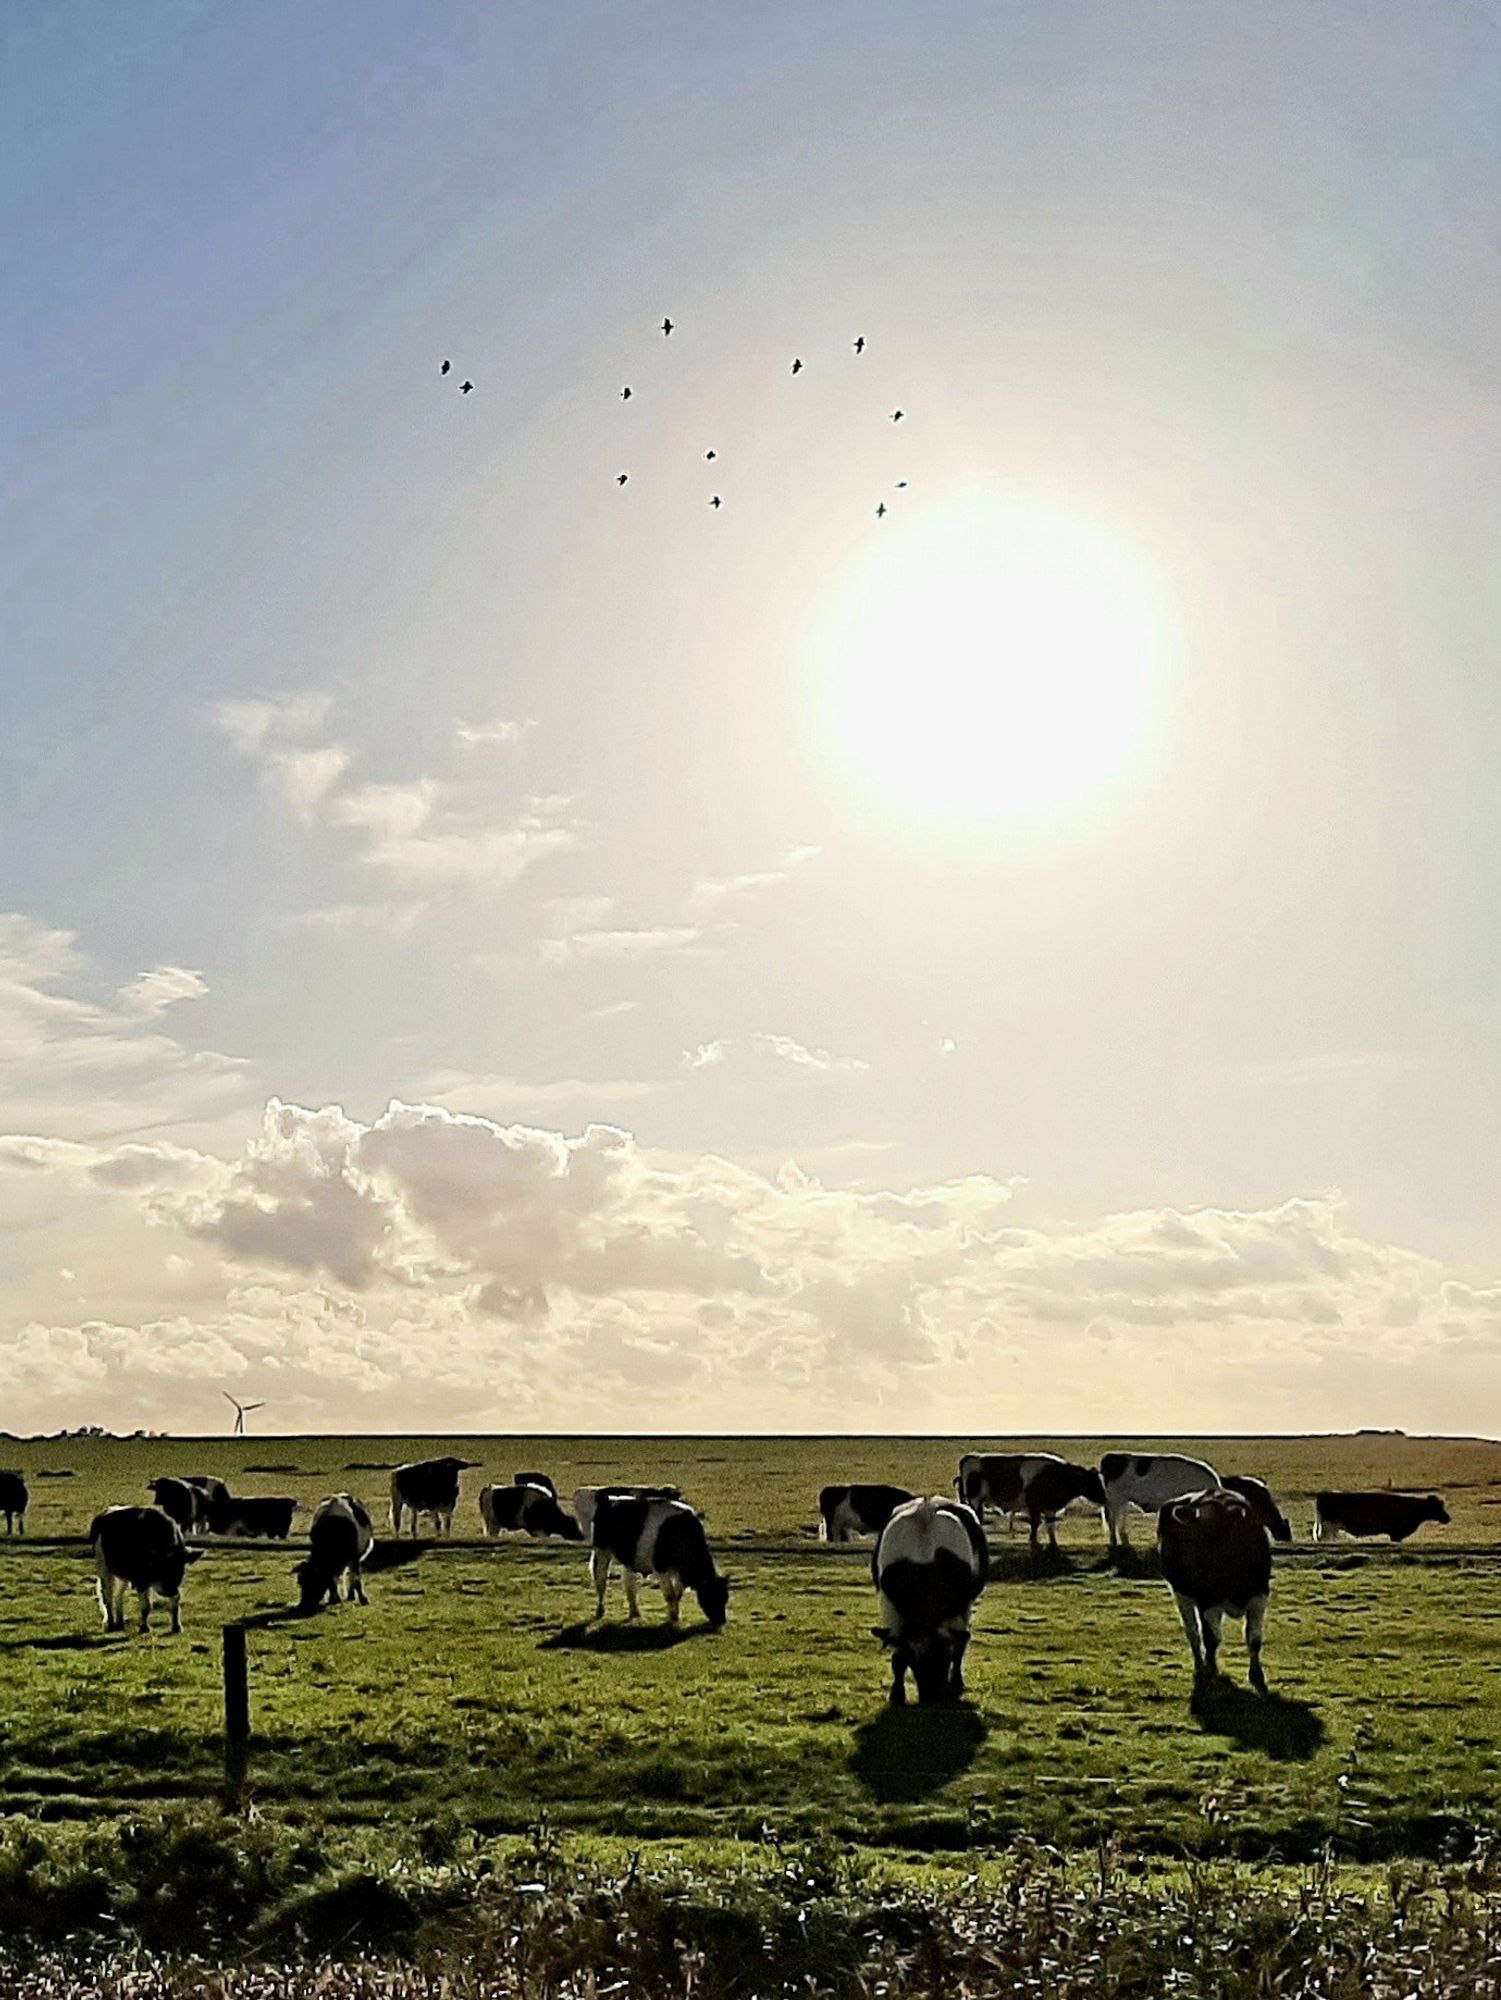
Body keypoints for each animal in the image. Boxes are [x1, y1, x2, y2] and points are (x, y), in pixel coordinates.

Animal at [90, 1504, 201, 1632]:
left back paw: (121, 1624)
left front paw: (177, 1628)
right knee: (107, 1594)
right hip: (103, 1566)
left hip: (122, 1574)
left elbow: (176, 1599)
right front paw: (144, 1629)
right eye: (161, 1567)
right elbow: (146, 1604)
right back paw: (111, 1624)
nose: (168, 1590)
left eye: (179, 1568)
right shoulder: (141, 1578)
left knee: (118, 1594)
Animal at [588, 1496, 728, 1632]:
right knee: (601, 1581)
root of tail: (609, 1500)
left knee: (629, 1584)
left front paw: (676, 1616)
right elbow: (670, 1595)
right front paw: (672, 1619)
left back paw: (634, 1613)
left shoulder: (679, 1573)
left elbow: (678, 1594)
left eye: (725, 1598)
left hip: (631, 1561)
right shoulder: (661, 1568)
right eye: (710, 1597)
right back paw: (600, 1611)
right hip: (602, 1552)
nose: (721, 1623)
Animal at [868, 1504, 988, 1704]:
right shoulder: (891, 1608)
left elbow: (959, 1648)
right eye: (914, 1661)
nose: (931, 1697)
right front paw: (897, 1694)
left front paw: (955, 1685)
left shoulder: (960, 1608)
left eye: (944, 1659)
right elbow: (898, 1657)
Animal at [1160, 1488, 1272, 1688]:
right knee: (1194, 1633)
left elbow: (1254, 1637)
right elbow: (1211, 1638)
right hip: (1182, 1593)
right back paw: (1200, 1666)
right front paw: (1211, 1669)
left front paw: (1256, 1673)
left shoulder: (1259, 1595)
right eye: (1198, 1531)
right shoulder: (1207, 1600)